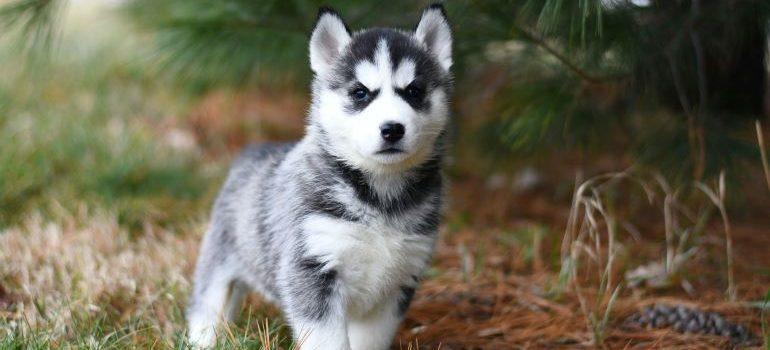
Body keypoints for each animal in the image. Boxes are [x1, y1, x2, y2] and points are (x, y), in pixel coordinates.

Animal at [186, 4, 450, 348]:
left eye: (414, 91)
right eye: (360, 93)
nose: (392, 129)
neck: (380, 195)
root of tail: (255, 149)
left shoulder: (398, 283)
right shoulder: (311, 271)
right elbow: (328, 339)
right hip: (218, 263)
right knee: (206, 307)